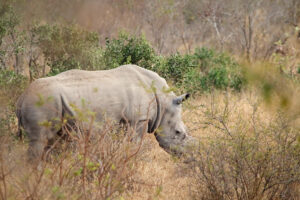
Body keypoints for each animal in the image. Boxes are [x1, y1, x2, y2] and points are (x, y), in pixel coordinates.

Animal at [15, 65, 195, 160]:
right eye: (178, 133)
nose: (189, 156)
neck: (164, 101)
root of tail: (21, 98)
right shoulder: (139, 119)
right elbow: (134, 144)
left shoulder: (124, 121)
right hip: (41, 102)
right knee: (40, 141)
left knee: (49, 141)